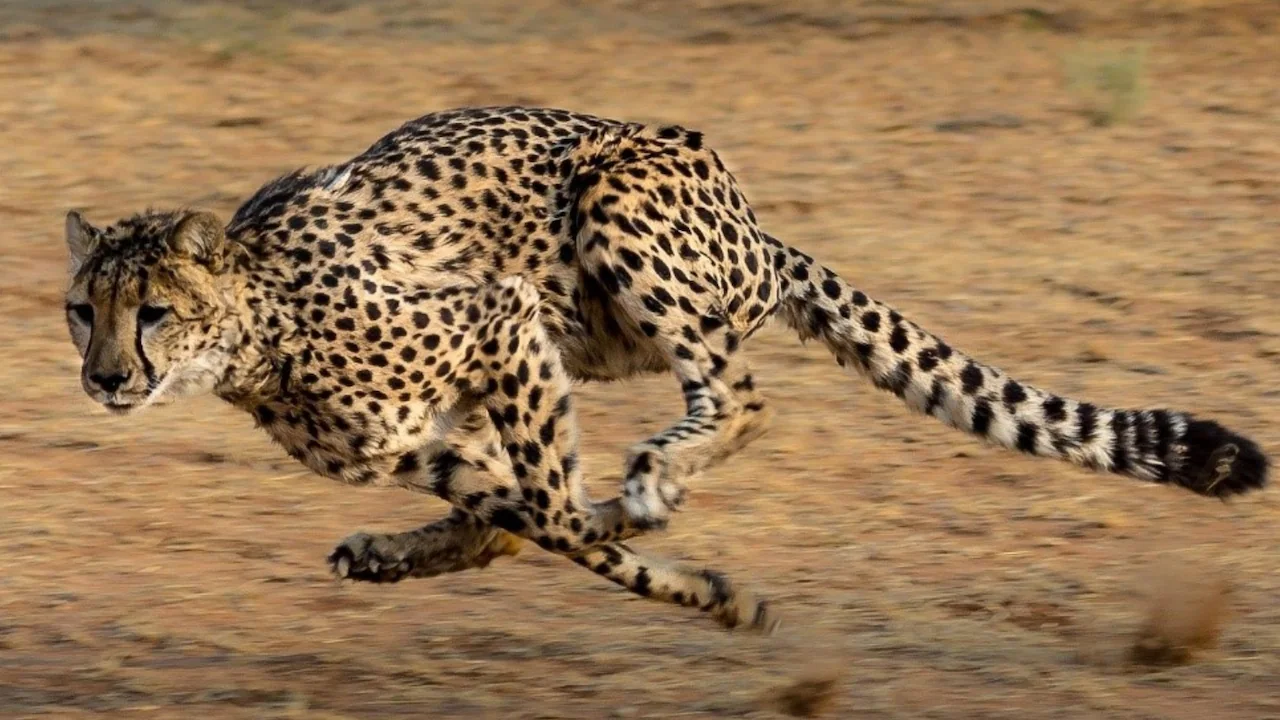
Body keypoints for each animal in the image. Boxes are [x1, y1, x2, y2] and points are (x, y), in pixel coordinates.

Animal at [62, 105, 1268, 634]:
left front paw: (694, 577)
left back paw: (654, 478)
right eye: (83, 312)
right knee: (524, 510)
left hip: (613, 213)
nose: (105, 379)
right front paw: (697, 583)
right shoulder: (422, 438)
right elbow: (526, 519)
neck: (256, 330)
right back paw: (419, 548)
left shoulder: (498, 318)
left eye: (152, 312)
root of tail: (754, 222)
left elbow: (555, 514)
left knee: (739, 395)